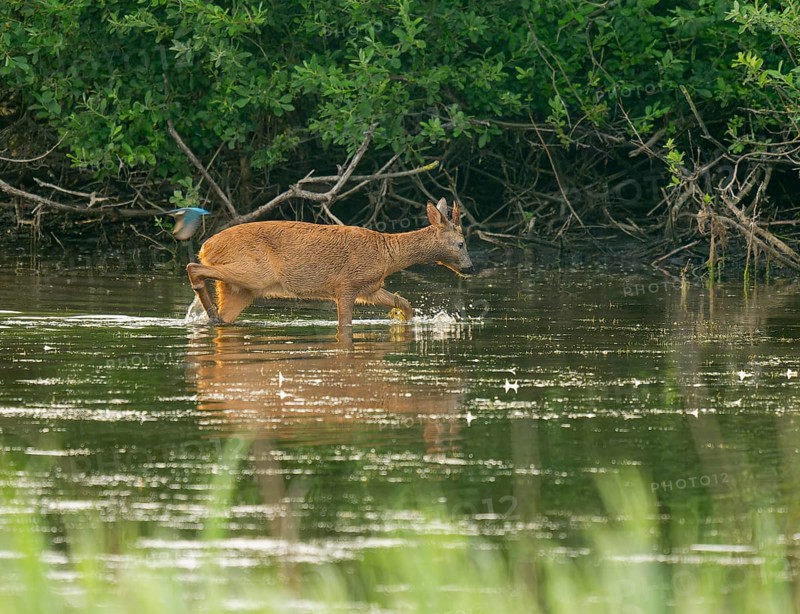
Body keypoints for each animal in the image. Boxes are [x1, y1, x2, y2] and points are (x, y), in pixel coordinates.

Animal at [186, 197, 474, 328]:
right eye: (461, 243)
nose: (471, 268)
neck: (386, 254)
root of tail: (206, 246)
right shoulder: (346, 284)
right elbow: (344, 323)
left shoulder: (369, 288)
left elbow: (404, 302)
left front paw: (407, 322)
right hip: (255, 271)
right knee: (194, 267)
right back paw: (208, 312)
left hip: (242, 291)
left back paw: (212, 318)